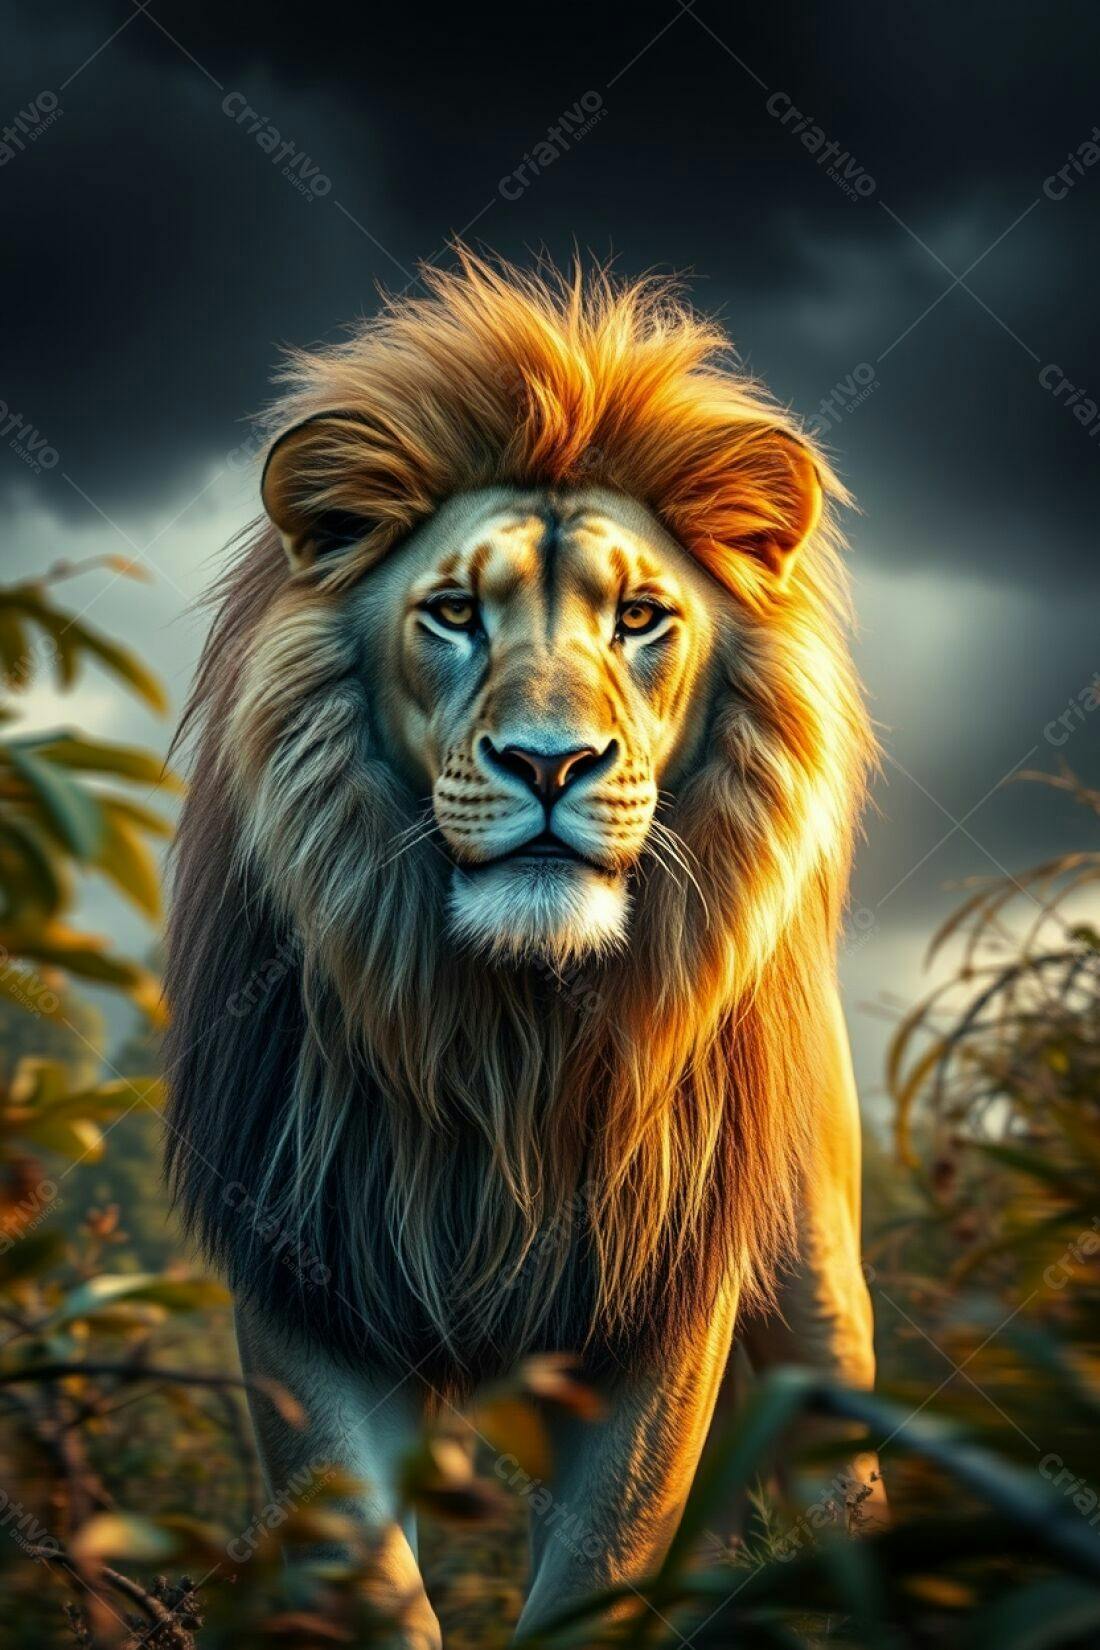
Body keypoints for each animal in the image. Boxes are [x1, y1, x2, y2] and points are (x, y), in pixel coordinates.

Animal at [164, 250, 878, 1645]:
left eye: (641, 617)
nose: (549, 764)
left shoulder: (659, 1309)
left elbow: (598, 1572)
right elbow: (372, 1582)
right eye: (452, 613)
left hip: (817, 1284)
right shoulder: (301, 1282)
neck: (509, 1030)